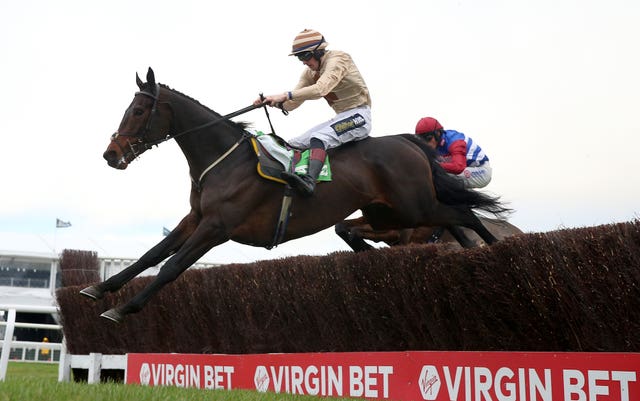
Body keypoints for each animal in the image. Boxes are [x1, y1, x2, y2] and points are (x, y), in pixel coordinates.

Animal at [81, 68, 510, 322]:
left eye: (138, 111)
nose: (111, 154)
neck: (225, 160)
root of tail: (408, 141)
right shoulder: (196, 219)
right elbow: (151, 255)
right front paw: (99, 288)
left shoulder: (218, 227)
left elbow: (171, 267)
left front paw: (122, 308)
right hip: (391, 213)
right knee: (431, 222)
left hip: (414, 207)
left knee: (465, 215)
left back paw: (496, 253)